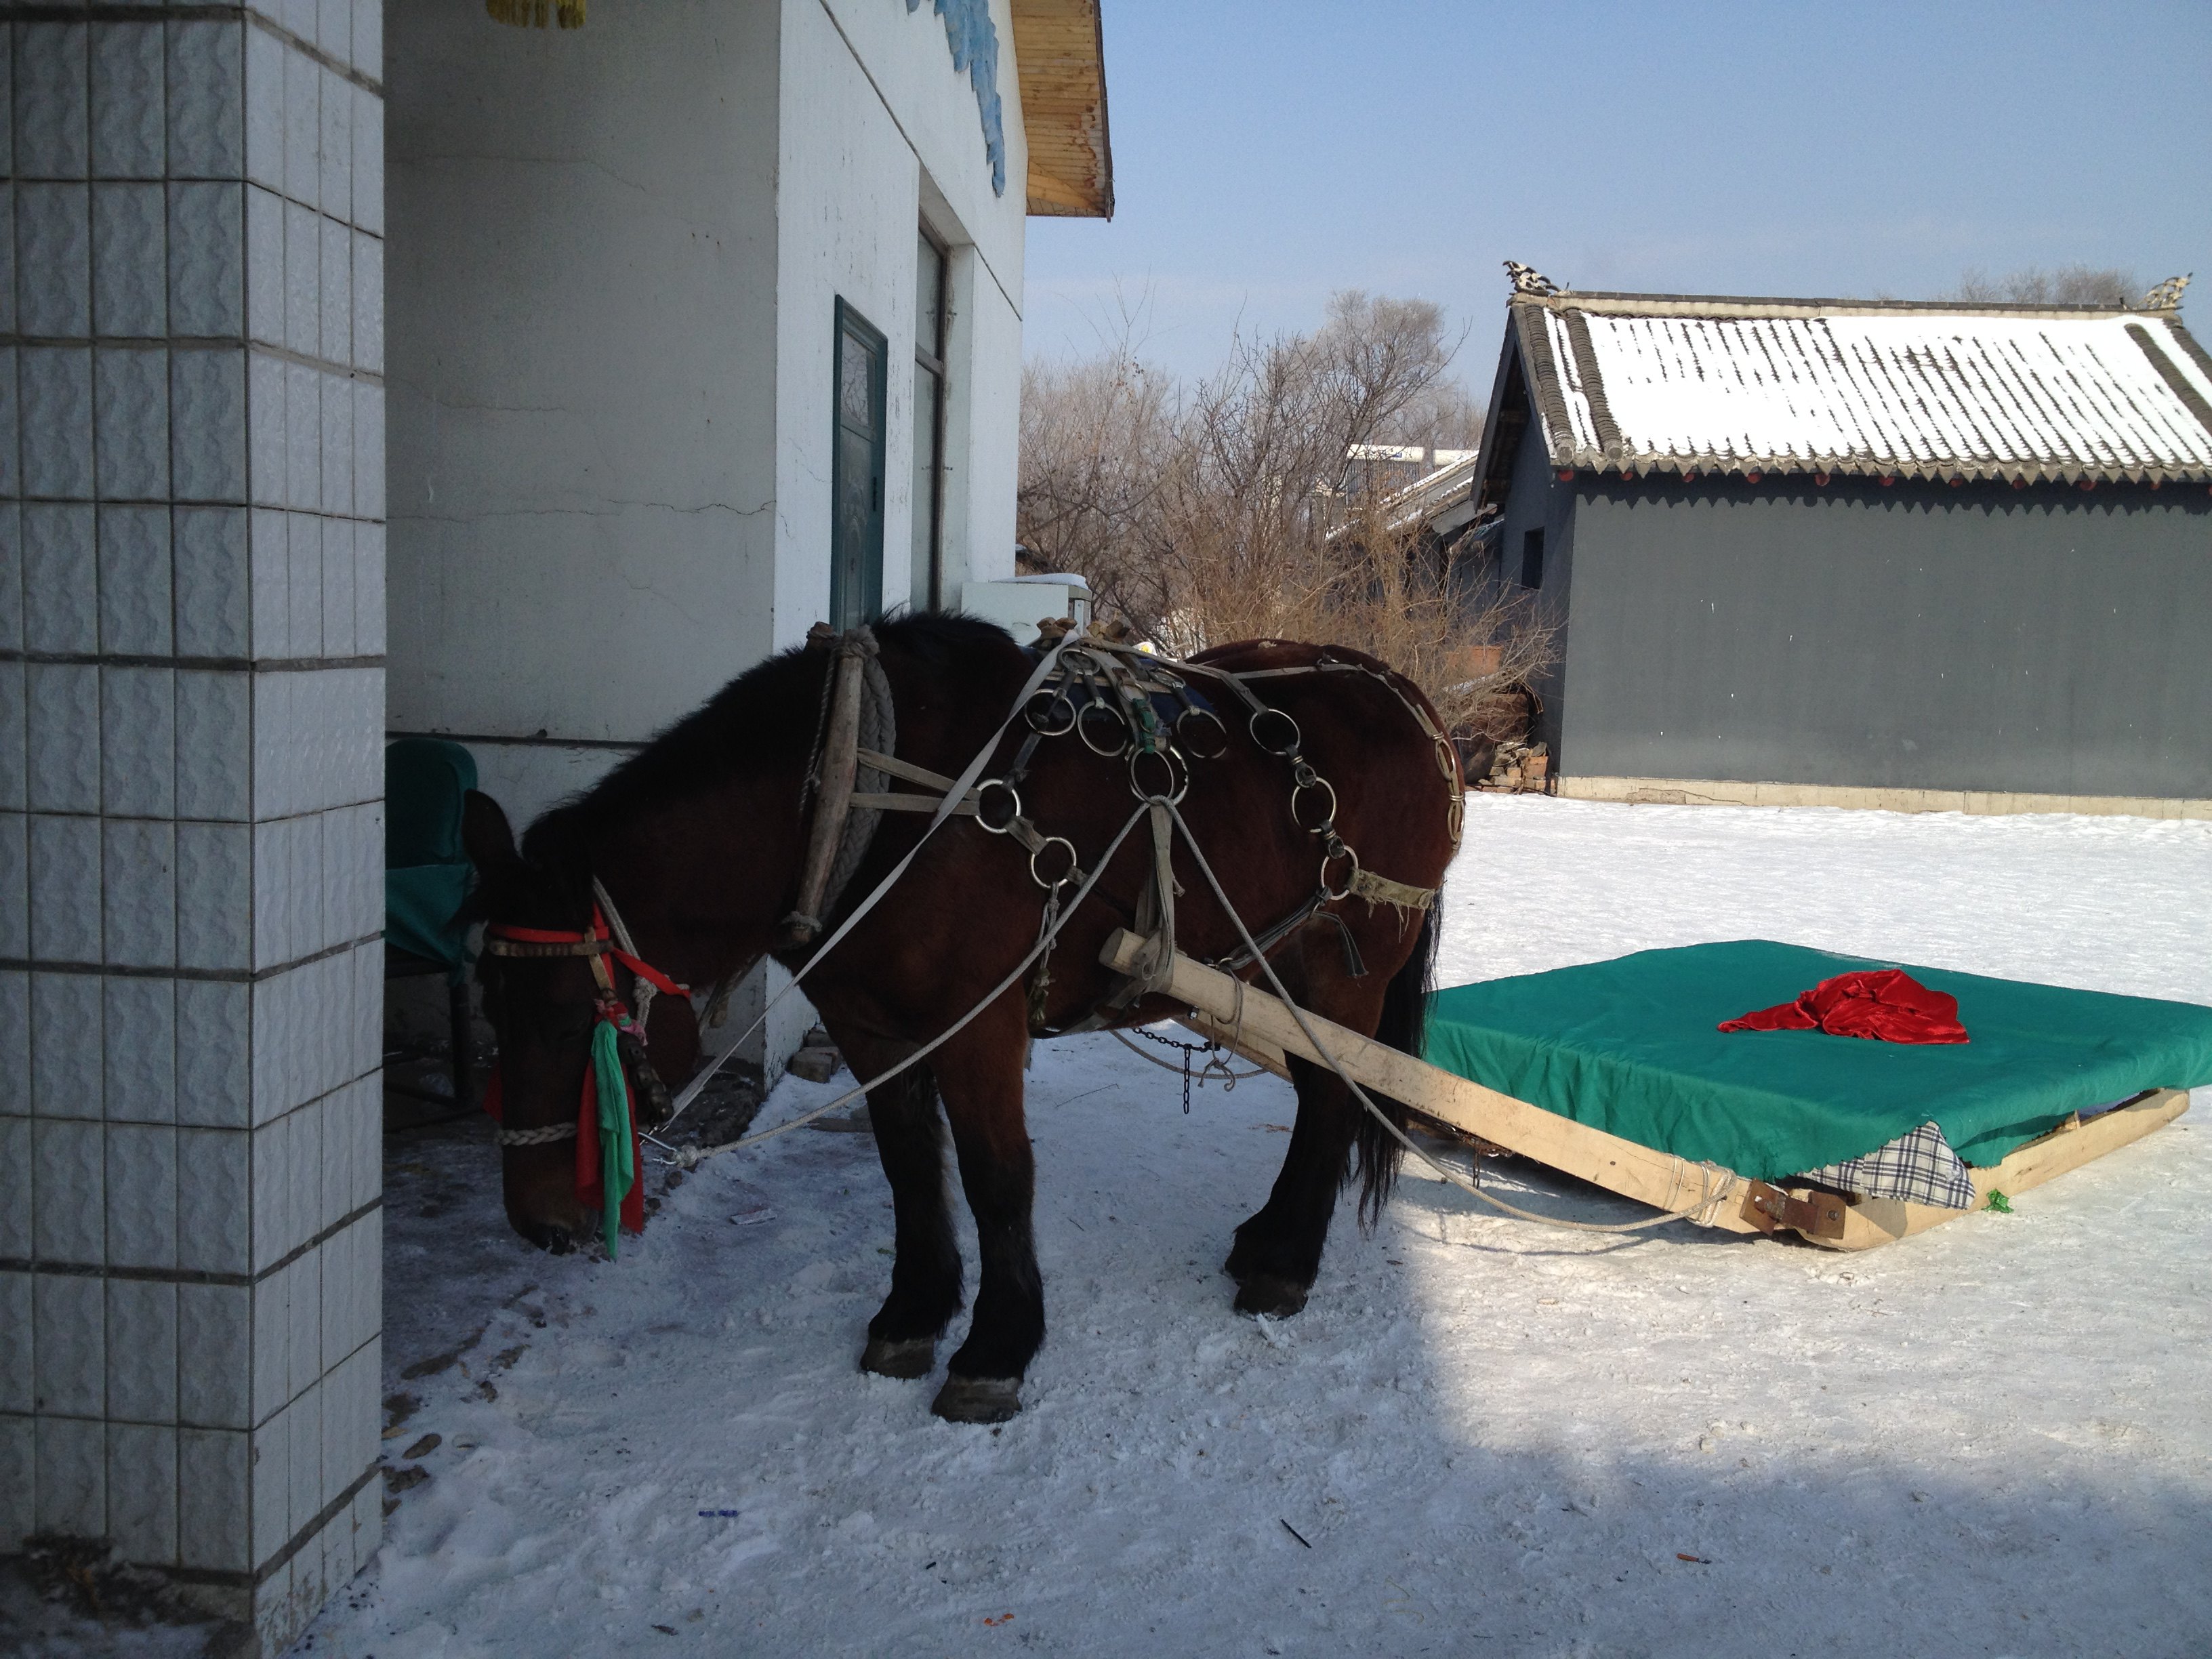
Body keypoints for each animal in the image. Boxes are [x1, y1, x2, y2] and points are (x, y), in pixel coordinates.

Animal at [464, 619, 1460, 1425]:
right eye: (489, 1009)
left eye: (568, 1022)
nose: (538, 1222)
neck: (861, 801)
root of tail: (1407, 695)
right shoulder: (872, 1029)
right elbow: (908, 1165)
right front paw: (914, 1313)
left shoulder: (979, 1023)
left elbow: (996, 1178)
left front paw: (996, 1349)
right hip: (1282, 969)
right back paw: (1265, 1236)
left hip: (1343, 974)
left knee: (1331, 1102)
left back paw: (1286, 1262)